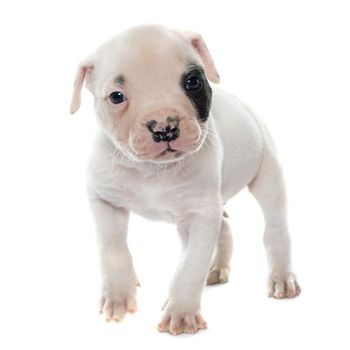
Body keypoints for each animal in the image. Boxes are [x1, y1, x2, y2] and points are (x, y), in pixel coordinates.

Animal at [69, 24, 300, 336]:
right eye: (116, 96)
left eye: (192, 81)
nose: (164, 127)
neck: (152, 171)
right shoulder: (104, 200)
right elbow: (112, 248)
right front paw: (118, 296)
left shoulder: (201, 214)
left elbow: (190, 266)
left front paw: (181, 311)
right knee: (223, 228)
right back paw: (216, 269)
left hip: (267, 172)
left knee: (274, 228)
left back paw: (281, 277)